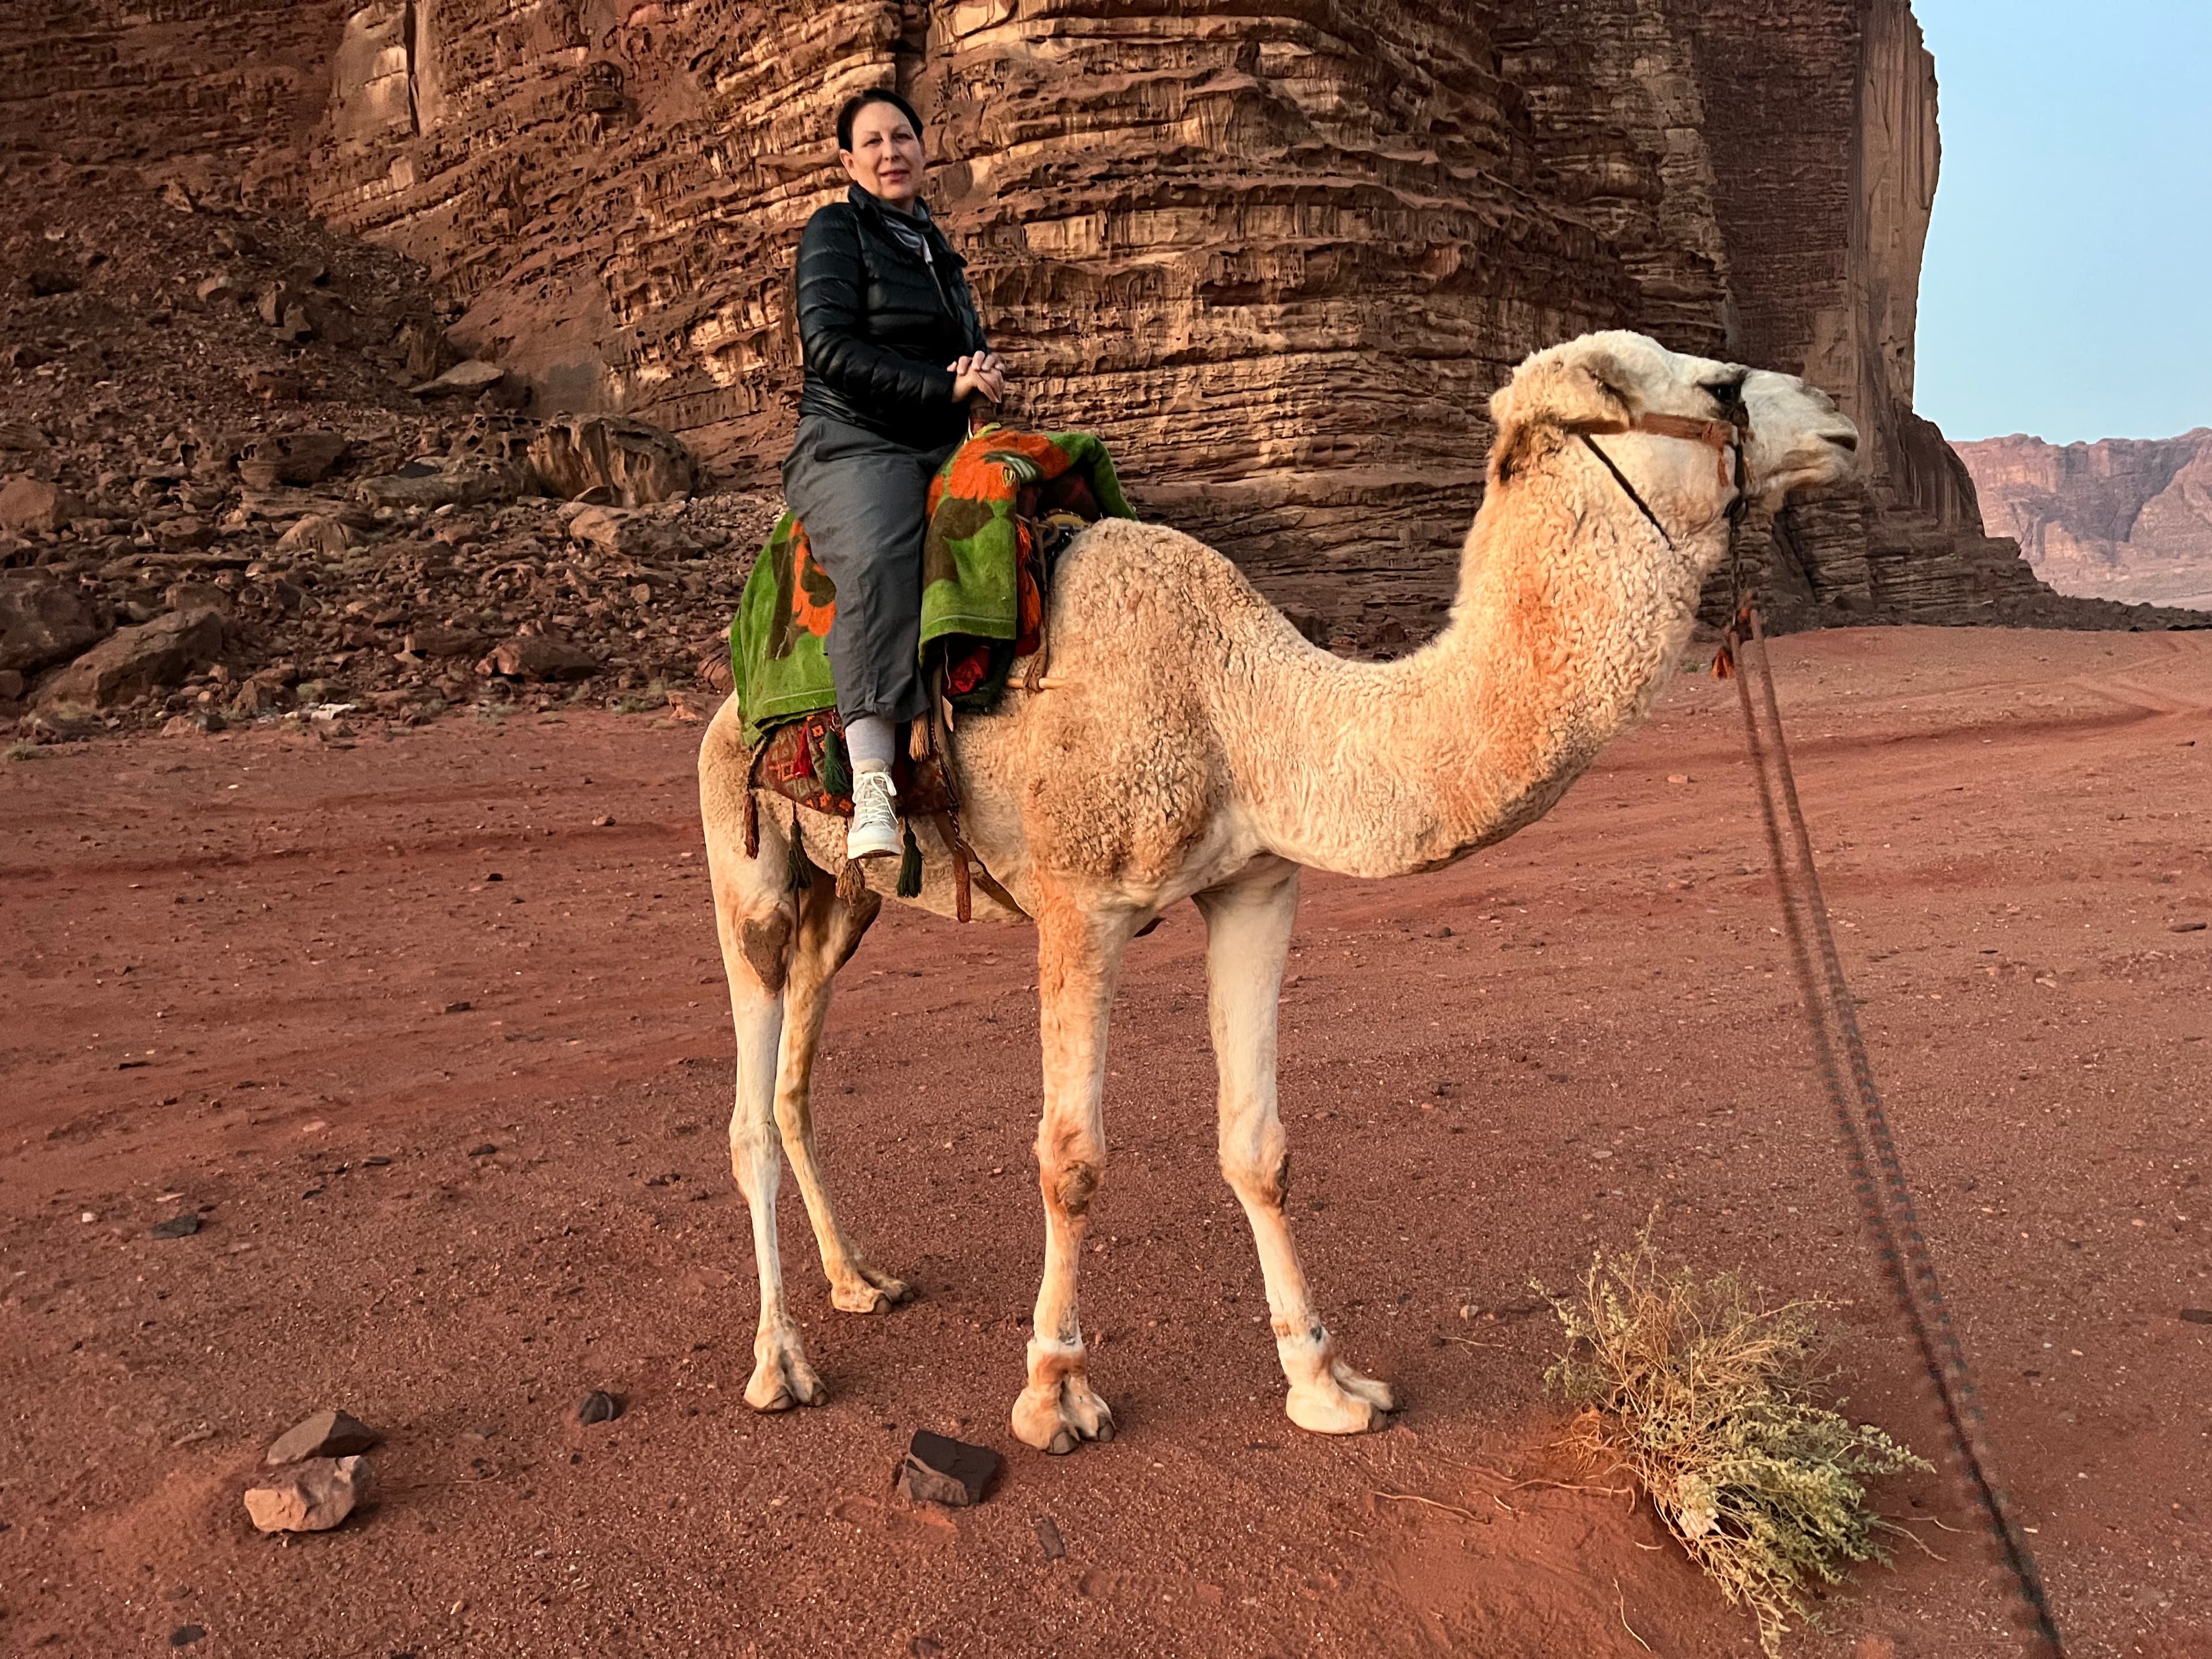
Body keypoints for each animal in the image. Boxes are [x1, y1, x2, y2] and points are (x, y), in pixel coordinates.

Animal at [698, 329, 1859, 1452]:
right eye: (1717, 387)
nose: (1839, 420)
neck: (1240, 709)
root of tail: (725, 708)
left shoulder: (1256, 887)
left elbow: (1259, 1147)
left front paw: (1326, 1384)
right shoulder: (1079, 905)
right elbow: (1071, 1160)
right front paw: (1055, 1394)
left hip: (846, 899)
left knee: (797, 1081)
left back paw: (859, 1280)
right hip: (742, 861)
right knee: (748, 1109)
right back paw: (777, 1364)